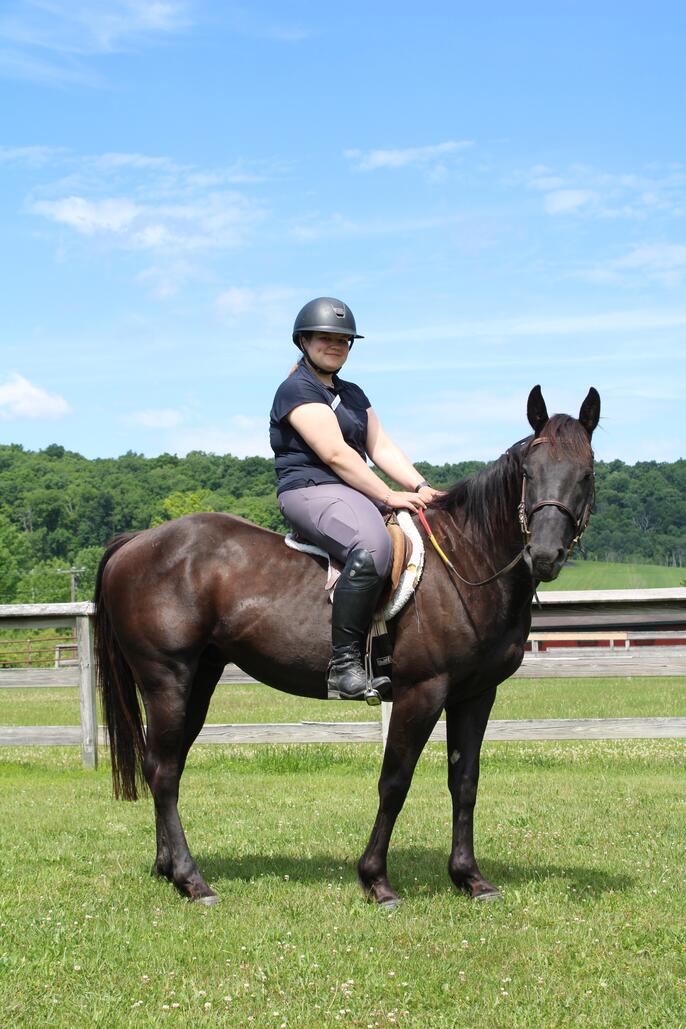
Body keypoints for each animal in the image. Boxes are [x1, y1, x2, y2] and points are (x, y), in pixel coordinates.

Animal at [95, 384, 600, 907]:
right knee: (163, 771)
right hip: (167, 680)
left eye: (586, 474)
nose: (544, 555)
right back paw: (192, 880)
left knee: (165, 764)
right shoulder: (422, 691)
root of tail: (139, 541)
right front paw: (376, 880)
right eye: (528, 473)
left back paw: (168, 869)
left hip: (199, 678)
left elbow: (465, 782)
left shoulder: (476, 695)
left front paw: (470, 878)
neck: (466, 560)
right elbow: (394, 781)